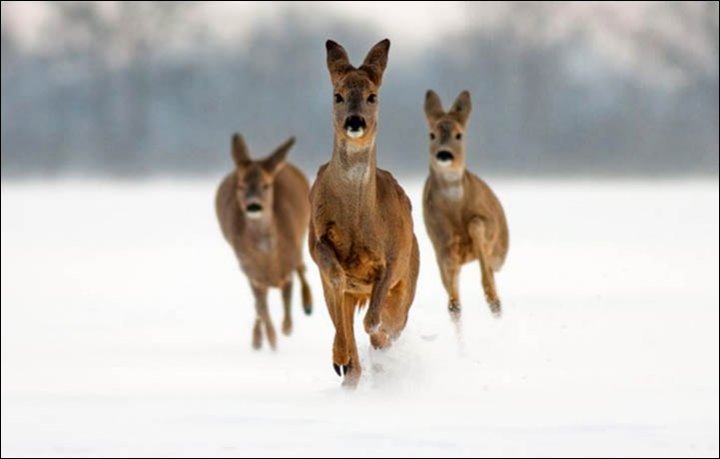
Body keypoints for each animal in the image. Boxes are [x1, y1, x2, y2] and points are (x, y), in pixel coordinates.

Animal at [217, 135, 312, 350]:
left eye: (266, 185)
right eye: (241, 186)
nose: (253, 205)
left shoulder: (287, 266)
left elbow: (287, 301)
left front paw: (286, 329)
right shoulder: (252, 273)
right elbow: (262, 309)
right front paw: (271, 341)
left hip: (302, 234)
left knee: (302, 266)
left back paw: (308, 304)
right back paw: (258, 339)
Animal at [306, 39, 420, 386]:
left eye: (372, 96)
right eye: (337, 95)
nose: (355, 122)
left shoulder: (393, 257)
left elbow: (374, 321)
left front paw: (378, 344)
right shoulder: (316, 242)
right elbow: (335, 276)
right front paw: (342, 359)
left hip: (409, 276)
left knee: (390, 322)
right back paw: (346, 366)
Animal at [424, 90, 510, 320]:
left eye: (459, 134)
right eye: (431, 134)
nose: (444, 154)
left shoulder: (489, 225)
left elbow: (476, 225)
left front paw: (492, 298)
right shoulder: (440, 243)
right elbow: (452, 290)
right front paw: (455, 305)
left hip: (500, 251)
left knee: (491, 269)